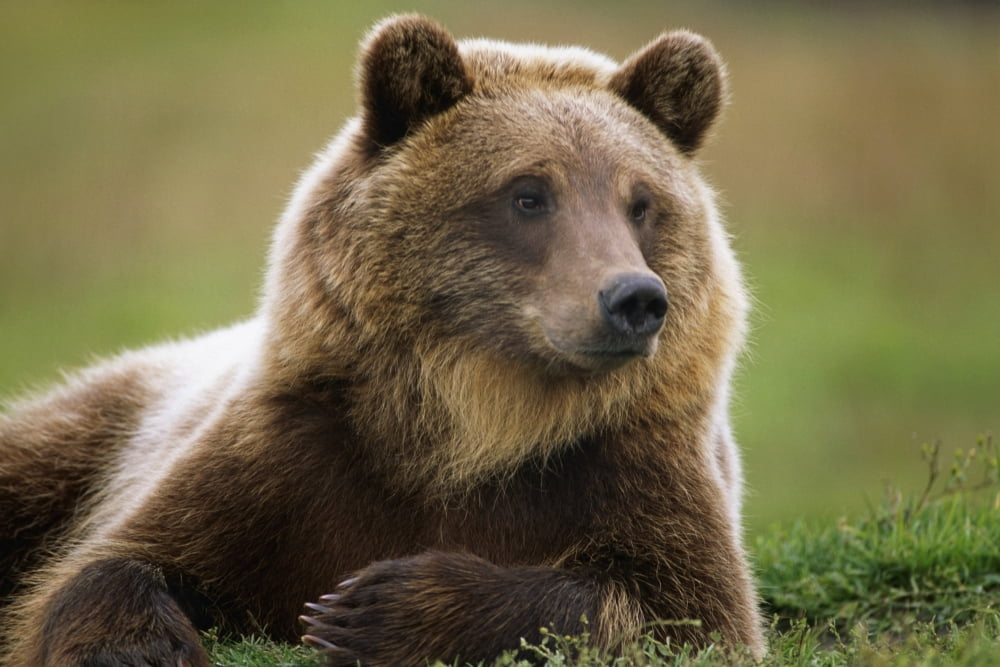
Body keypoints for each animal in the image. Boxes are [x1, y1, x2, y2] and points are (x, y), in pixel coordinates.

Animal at [0, 14, 763, 666]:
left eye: (641, 202)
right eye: (528, 193)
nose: (635, 299)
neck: (478, 422)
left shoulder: (627, 465)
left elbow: (677, 609)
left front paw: (375, 607)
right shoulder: (293, 456)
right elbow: (115, 559)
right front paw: (137, 646)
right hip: (102, 420)